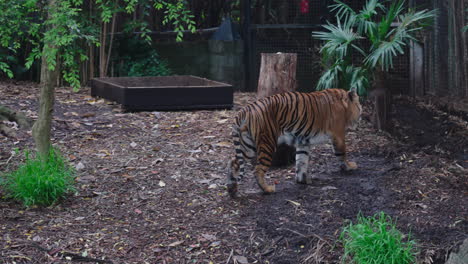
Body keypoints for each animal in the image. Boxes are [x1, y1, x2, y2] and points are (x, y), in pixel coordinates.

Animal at [227, 87, 362, 197]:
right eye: (359, 104)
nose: (361, 114)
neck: (344, 104)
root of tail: (245, 109)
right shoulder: (338, 135)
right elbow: (342, 153)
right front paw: (349, 166)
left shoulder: (303, 141)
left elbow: (301, 161)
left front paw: (302, 180)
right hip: (267, 143)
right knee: (258, 169)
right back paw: (267, 189)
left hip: (248, 146)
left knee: (234, 161)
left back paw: (232, 188)